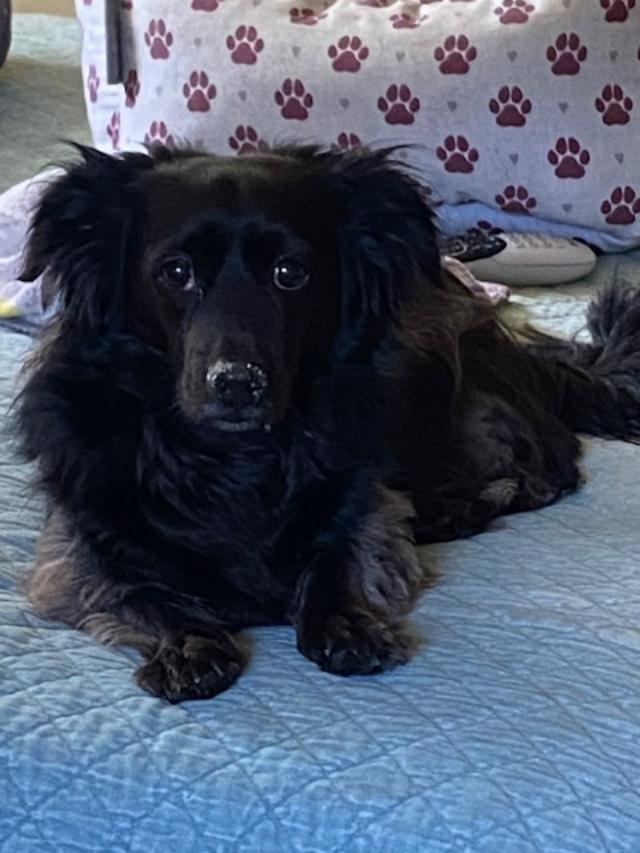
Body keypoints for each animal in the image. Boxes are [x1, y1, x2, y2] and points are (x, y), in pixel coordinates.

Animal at [15, 144, 640, 702]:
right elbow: (142, 592)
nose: (237, 383)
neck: (228, 458)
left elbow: (339, 557)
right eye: (176, 272)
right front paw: (189, 644)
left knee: (545, 471)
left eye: (290, 273)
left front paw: (347, 624)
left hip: (451, 383)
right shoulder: (74, 552)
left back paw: (453, 509)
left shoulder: (363, 506)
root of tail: (526, 352)